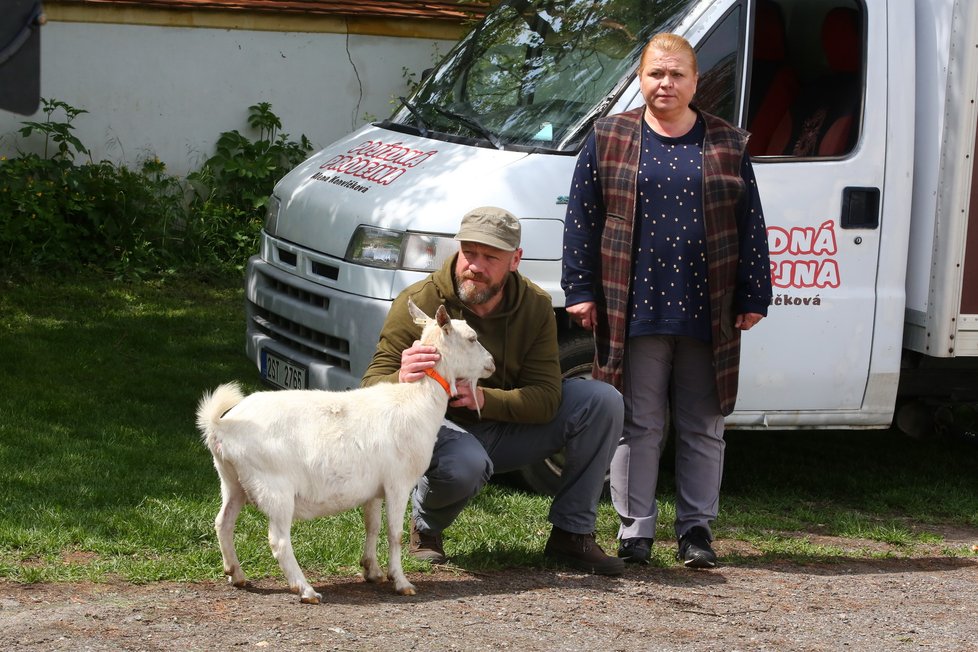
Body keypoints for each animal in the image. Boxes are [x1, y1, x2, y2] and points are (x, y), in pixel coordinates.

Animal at [196, 298, 496, 604]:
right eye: (472, 338)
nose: (491, 364)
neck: (417, 400)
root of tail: (221, 426)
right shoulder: (398, 482)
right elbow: (395, 533)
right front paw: (401, 582)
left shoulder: (374, 489)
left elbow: (372, 526)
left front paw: (372, 571)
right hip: (273, 486)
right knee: (278, 540)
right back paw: (305, 589)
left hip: (231, 480)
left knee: (223, 522)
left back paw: (236, 574)